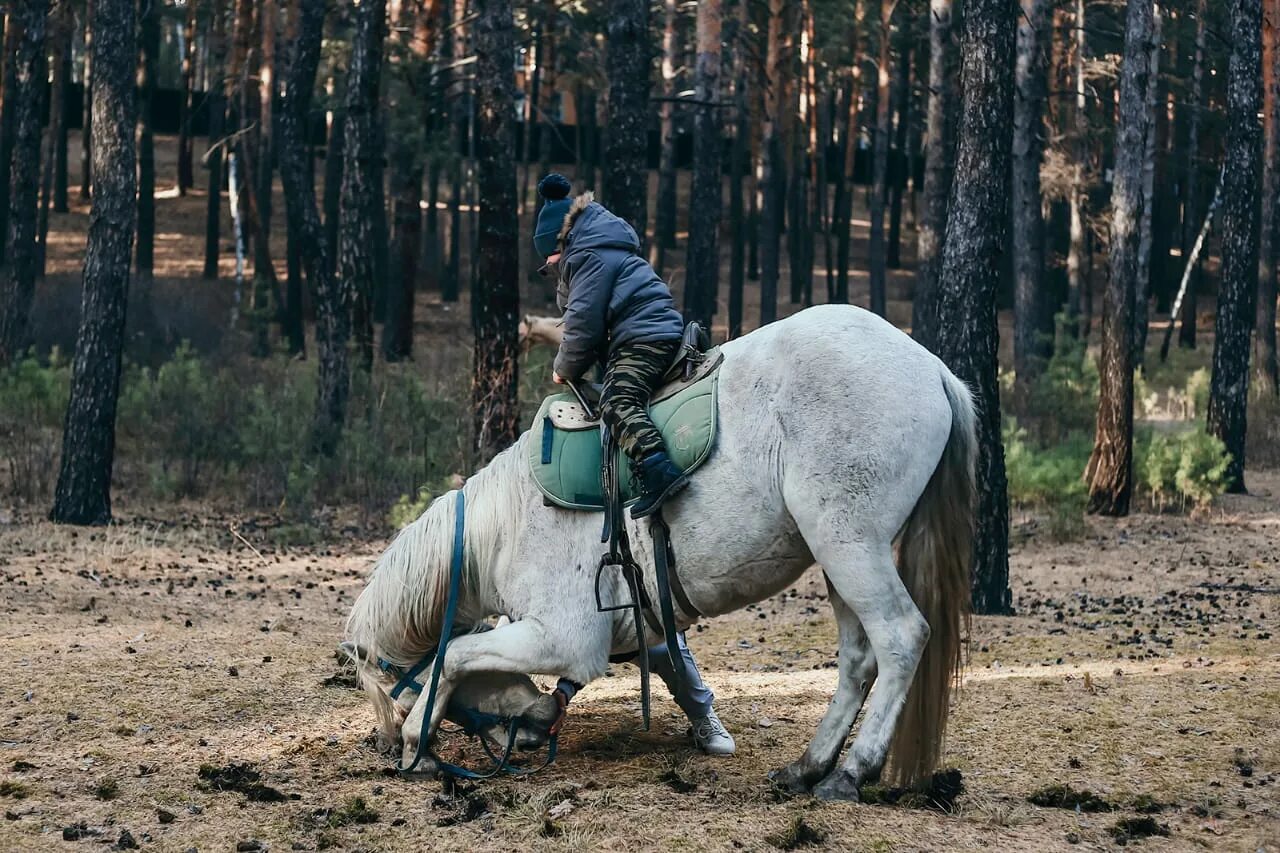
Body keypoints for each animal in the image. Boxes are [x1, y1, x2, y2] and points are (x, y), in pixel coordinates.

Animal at [345, 306, 972, 799]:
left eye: (395, 680)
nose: (540, 723)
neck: (501, 527)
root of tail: (933, 368)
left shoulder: (564, 638)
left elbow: (454, 656)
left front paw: (417, 745)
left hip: (849, 545)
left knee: (900, 638)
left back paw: (850, 774)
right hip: (840, 560)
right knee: (858, 659)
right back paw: (807, 767)